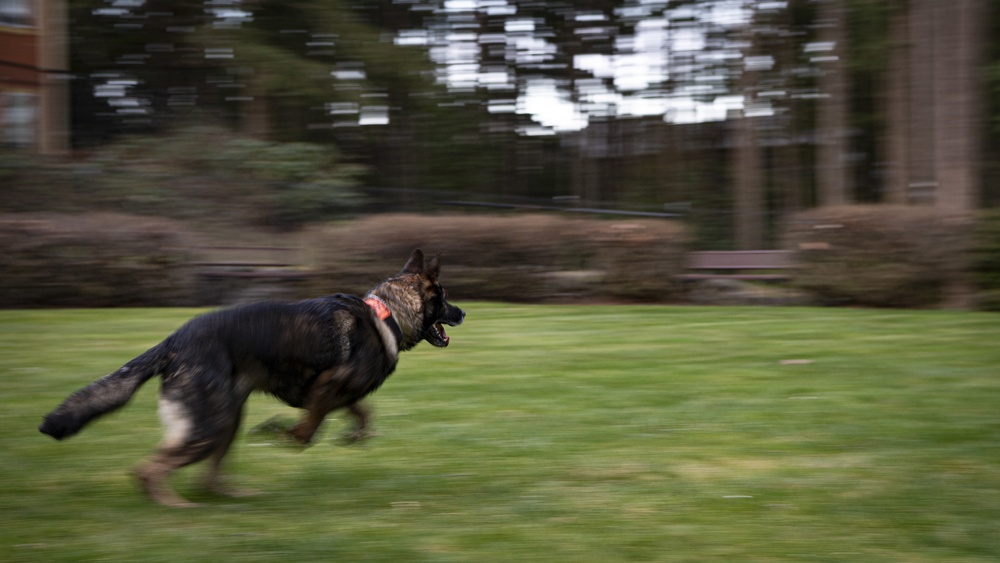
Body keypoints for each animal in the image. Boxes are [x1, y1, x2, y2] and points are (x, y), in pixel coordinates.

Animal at [37, 249, 462, 508]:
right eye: (443, 298)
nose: (463, 313)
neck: (386, 314)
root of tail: (174, 340)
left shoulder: (335, 392)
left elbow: (362, 414)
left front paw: (353, 435)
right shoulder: (325, 388)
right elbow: (305, 433)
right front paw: (282, 434)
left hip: (226, 419)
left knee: (208, 477)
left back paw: (236, 494)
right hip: (210, 424)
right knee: (148, 469)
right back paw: (174, 504)